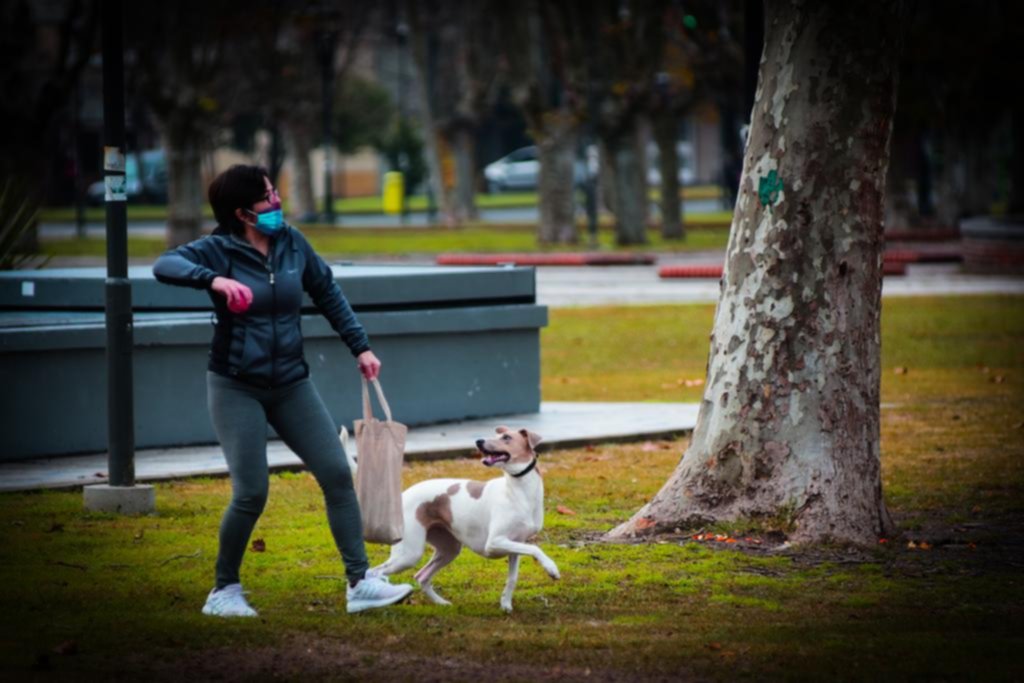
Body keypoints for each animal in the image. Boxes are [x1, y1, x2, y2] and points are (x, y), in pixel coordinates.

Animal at [360, 423, 561, 610]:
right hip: (409, 553)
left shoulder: (515, 545)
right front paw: (551, 568)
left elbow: (513, 578)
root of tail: (403, 494)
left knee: (421, 576)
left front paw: (505, 604)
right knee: (376, 572)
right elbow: (536, 549)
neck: (519, 491)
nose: (478, 441)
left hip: (448, 549)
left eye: (506, 437)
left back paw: (441, 603)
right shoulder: (494, 542)